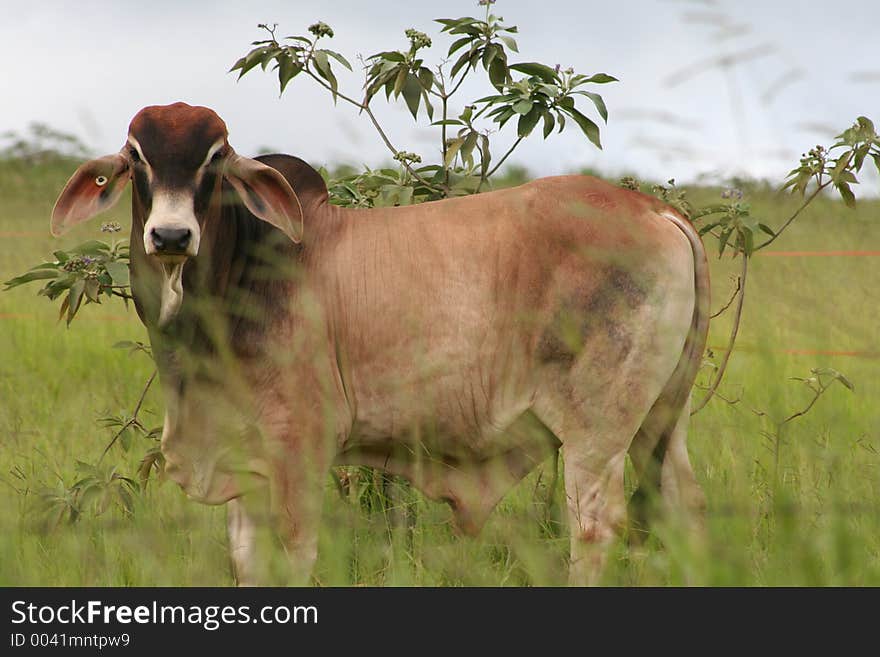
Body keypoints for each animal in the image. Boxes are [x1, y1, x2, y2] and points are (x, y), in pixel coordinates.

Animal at [51, 102, 708, 584]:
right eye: (136, 156)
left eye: (214, 159)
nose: (170, 235)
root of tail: (657, 212)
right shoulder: (245, 455)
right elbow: (248, 563)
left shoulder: (299, 446)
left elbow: (293, 557)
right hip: (661, 423)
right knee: (684, 511)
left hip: (598, 432)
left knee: (595, 526)